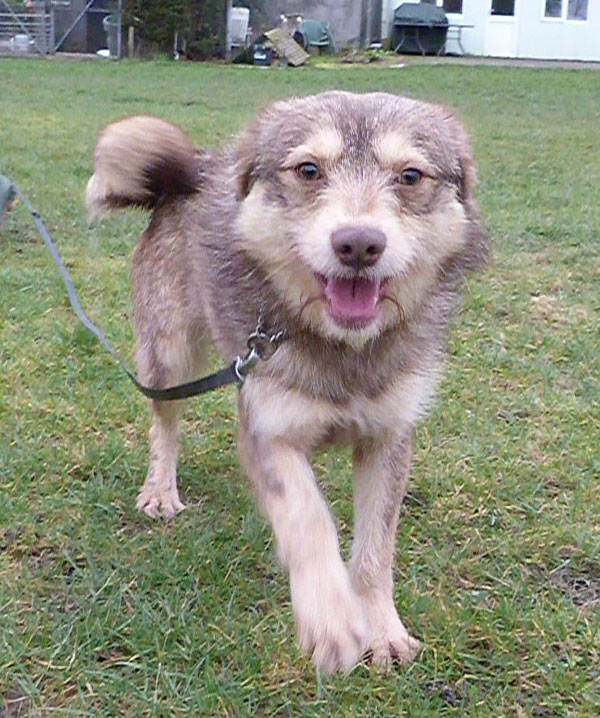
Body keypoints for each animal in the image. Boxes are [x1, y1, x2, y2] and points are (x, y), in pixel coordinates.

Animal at [86, 90, 488, 676]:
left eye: (411, 175)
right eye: (308, 170)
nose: (358, 245)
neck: (342, 349)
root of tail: (194, 169)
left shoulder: (389, 438)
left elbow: (376, 549)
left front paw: (382, 628)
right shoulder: (265, 428)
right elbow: (307, 516)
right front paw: (331, 618)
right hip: (167, 355)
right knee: (165, 424)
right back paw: (160, 490)